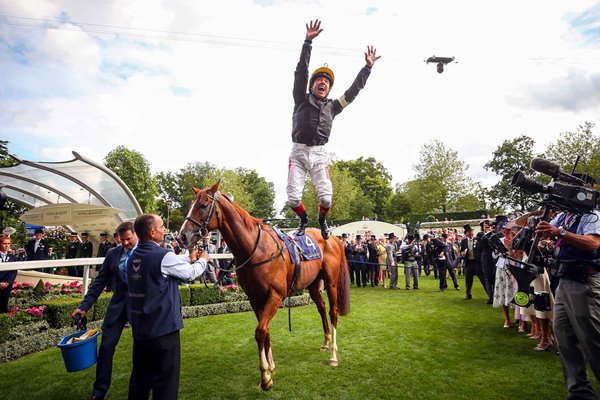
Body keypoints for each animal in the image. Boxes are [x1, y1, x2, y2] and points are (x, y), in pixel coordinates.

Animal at [176, 181, 350, 390]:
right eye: (191, 205)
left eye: (202, 205)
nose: (182, 237)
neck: (255, 249)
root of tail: (333, 238)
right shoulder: (254, 298)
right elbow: (265, 331)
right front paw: (270, 367)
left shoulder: (275, 295)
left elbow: (260, 332)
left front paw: (265, 377)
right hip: (314, 284)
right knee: (322, 307)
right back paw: (325, 343)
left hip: (331, 282)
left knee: (333, 312)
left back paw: (333, 355)